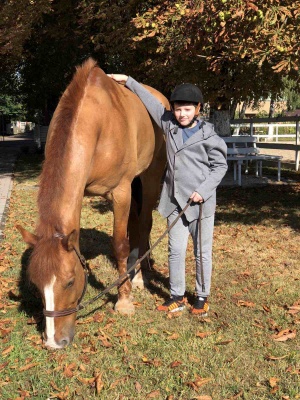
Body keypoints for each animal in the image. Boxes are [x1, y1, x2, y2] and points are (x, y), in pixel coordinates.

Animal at [18, 57, 169, 348]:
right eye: (36, 284)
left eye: (69, 281)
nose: (53, 342)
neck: (96, 121)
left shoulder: (121, 192)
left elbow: (120, 245)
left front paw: (124, 301)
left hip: (149, 177)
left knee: (143, 223)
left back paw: (139, 278)